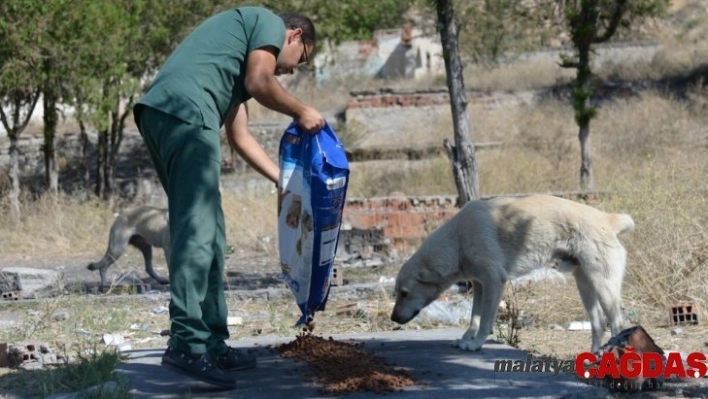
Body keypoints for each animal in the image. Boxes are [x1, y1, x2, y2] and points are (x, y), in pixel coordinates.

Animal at [392, 195, 636, 354]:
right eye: (397, 293)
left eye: (404, 293)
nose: (393, 318)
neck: (457, 240)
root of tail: (608, 219)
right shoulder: (480, 284)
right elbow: (474, 317)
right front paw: (466, 338)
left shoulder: (493, 282)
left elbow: (485, 320)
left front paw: (476, 344)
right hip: (585, 285)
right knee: (598, 323)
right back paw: (592, 358)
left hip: (603, 285)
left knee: (617, 323)